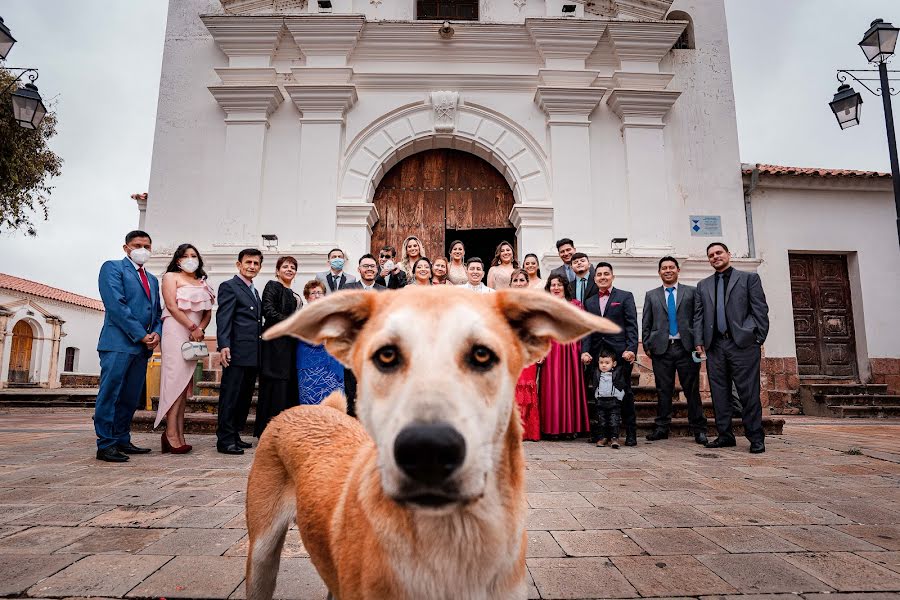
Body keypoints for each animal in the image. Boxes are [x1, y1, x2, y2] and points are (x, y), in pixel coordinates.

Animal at [246, 288, 620, 600]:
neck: (453, 539)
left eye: (482, 355)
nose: (428, 451)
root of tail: (307, 408)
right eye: (386, 356)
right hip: (261, 554)